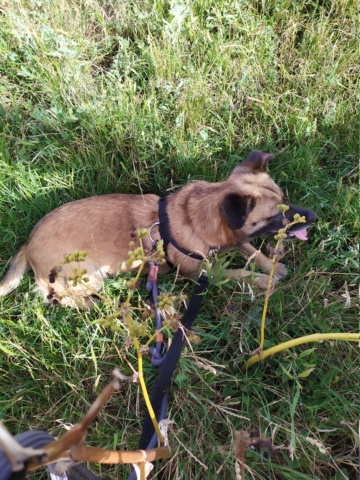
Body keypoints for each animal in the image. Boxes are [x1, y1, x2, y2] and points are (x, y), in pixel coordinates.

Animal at [0, 152, 316, 306]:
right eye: (276, 214)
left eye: (285, 198)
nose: (313, 216)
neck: (196, 217)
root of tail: (28, 244)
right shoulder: (202, 272)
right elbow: (237, 272)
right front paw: (262, 280)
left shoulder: (234, 239)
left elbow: (249, 247)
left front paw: (271, 265)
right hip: (88, 276)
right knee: (59, 299)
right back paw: (97, 305)